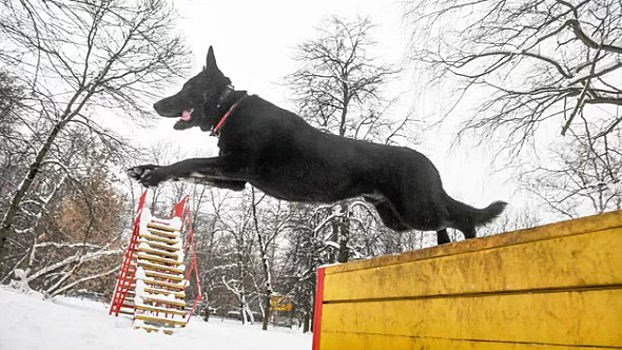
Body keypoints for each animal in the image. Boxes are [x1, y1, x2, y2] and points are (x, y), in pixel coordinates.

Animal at [129, 45, 510, 243]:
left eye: (185, 88)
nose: (156, 105)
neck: (229, 107)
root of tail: (430, 164)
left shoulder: (236, 166)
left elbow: (187, 162)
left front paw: (154, 174)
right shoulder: (234, 181)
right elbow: (188, 170)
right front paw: (146, 170)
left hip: (416, 210)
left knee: (459, 216)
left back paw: (473, 240)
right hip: (398, 219)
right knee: (445, 223)